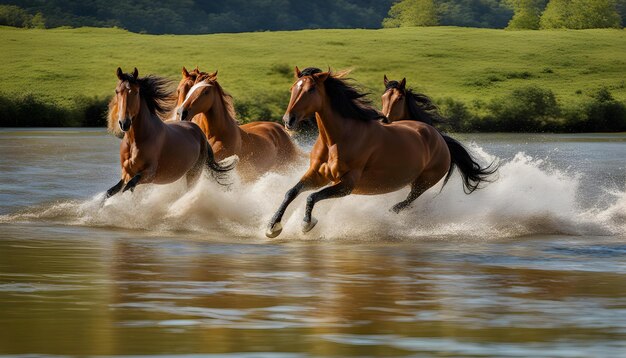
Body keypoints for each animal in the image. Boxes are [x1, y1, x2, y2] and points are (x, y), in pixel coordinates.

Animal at [105, 67, 236, 199]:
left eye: (136, 92)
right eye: (117, 91)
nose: (124, 123)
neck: (136, 140)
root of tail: (200, 132)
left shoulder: (149, 174)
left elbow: (128, 187)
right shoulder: (126, 173)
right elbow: (111, 192)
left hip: (193, 173)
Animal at [262, 68, 492, 239]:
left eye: (310, 90)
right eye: (293, 88)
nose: (288, 120)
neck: (336, 139)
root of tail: (438, 136)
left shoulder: (347, 184)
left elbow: (311, 197)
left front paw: (306, 224)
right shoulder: (318, 175)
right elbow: (291, 192)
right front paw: (273, 227)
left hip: (424, 182)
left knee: (405, 203)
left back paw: (389, 218)